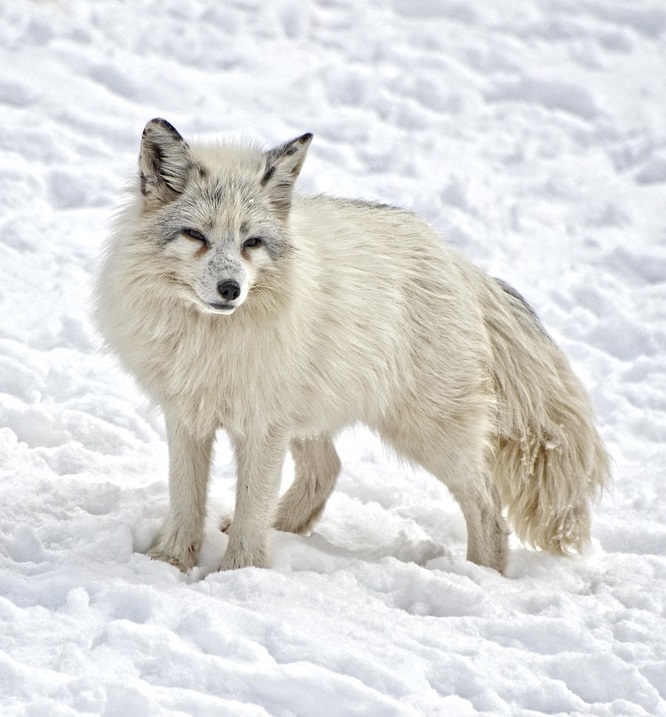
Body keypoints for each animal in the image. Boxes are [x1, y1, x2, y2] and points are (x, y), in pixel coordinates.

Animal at [93, 119, 608, 576]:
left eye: (251, 242)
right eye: (195, 236)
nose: (230, 290)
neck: (211, 340)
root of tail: (457, 261)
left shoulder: (262, 426)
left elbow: (252, 506)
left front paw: (239, 575)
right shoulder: (189, 416)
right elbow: (186, 499)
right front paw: (169, 563)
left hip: (427, 433)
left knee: (487, 505)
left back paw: (483, 577)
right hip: (314, 417)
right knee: (328, 470)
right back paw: (282, 528)